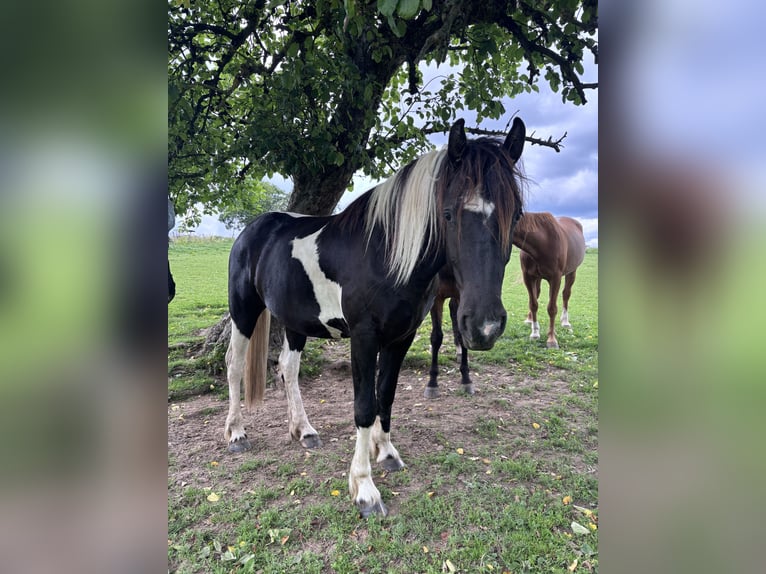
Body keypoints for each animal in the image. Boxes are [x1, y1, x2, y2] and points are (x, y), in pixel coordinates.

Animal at [224, 117, 527, 517]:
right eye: (448, 214)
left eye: (516, 214)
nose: (484, 327)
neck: (385, 253)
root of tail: (254, 228)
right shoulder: (364, 337)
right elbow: (365, 406)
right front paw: (364, 487)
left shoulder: (402, 337)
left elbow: (387, 394)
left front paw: (385, 452)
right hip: (243, 311)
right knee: (234, 365)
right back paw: (236, 433)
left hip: (294, 322)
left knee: (288, 368)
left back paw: (304, 430)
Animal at [514, 212, 586, 349]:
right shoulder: (528, 277)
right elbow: (533, 304)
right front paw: (535, 333)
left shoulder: (555, 278)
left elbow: (552, 308)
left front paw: (552, 340)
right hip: (537, 278)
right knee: (537, 293)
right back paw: (530, 319)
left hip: (572, 272)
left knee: (566, 294)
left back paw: (565, 321)